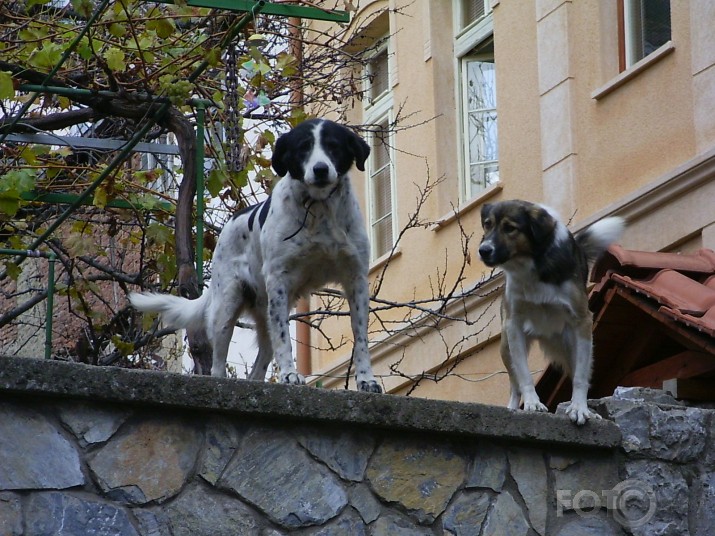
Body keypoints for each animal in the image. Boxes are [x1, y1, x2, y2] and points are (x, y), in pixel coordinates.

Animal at [131, 119, 384, 392]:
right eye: (303, 148)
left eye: (333, 146)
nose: (320, 169)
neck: (319, 209)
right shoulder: (279, 279)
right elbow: (284, 339)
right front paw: (289, 375)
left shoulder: (355, 278)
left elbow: (361, 337)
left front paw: (366, 379)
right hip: (227, 306)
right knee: (218, 364)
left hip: (267, 310)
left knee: (258, 367)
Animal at [482, 199, 628, 426]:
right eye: (487, 225)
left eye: (510, 228)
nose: (483, 250)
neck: (531, 266)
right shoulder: (514, 325)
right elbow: (524, 375)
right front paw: (532, 403)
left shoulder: (582, 321)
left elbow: (580, 378)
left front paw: (579, 408)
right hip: (506, 346)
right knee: (514, 383)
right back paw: (512, 408)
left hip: (572, 343)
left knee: (578, 371)